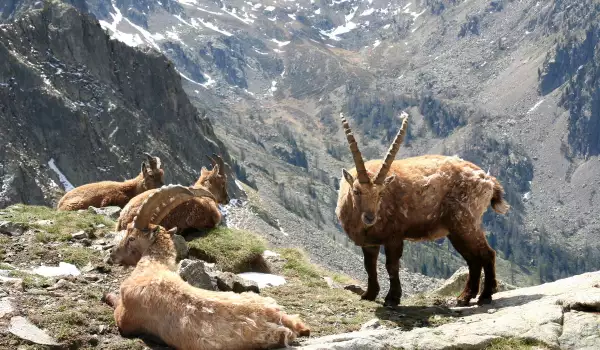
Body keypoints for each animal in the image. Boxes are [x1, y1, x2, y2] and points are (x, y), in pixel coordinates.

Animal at [103, 185, 310, 348]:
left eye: (131, 238)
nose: (112, 254)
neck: (152, 269)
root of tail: (280, 321)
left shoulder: (124, 317)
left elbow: (114, 302)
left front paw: (106, 295)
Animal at [336, 112, 508, 306]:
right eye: (356, 191)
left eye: (381, 193)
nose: (370, 218)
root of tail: (487, 179)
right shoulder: (370, 242)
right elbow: (369, 267)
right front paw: (369, 295)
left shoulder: (394, 237)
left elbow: (392, 266)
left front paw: (393, 298)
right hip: (456, 230)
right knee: (473, 259)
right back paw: (465, 296)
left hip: (466, 222)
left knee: (487, 253)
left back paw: (485, 295)